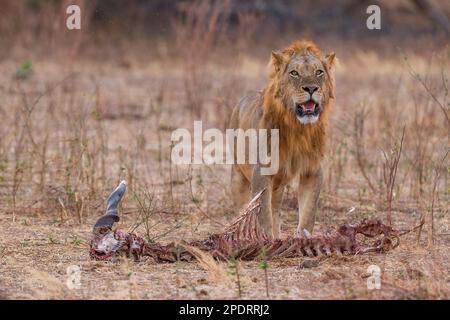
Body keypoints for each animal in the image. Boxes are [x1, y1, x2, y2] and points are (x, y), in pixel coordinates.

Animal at [230, 39, 336, 238]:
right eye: (294, 73)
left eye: (319, 72)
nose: (311, 88)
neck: (299, 128)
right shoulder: (262, 171)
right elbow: (262, 214)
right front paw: (265, 241)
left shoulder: (313, 170)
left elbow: (308, 212)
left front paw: (303, 239)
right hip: (238, 174)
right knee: (242, 209)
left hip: (278, 185)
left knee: (275, 209)